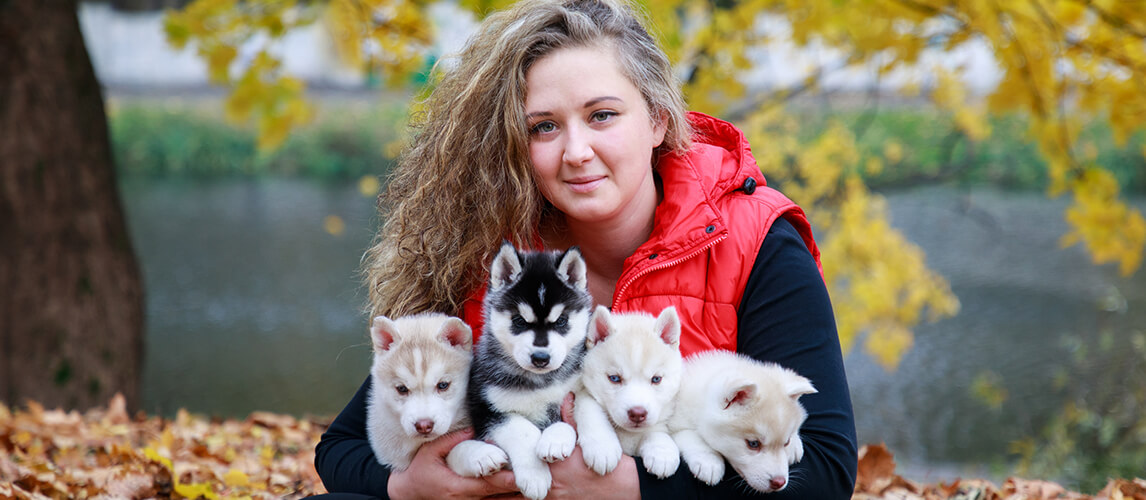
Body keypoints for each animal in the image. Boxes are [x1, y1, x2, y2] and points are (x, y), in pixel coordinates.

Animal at [442, 241, 591, 499]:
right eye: (519, 321)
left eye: (561, 321)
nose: (540, 358)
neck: (539, 382)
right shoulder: (487, 409)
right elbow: (523, 430)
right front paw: (535, 476)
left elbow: (567, 418)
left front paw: (557, 440)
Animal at [577, 307, 683, 479]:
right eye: (614, 378)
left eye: (656, 379)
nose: (638, 413)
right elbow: (588, 407)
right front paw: (602, 446)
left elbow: (655, 430)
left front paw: (662, 451)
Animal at [669, 348, 820, 493]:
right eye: (753, 443)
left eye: (786, 442)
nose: (779, 482)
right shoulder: (675, 422)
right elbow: (691, 435)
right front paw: (709, 461)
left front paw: (795, 444)